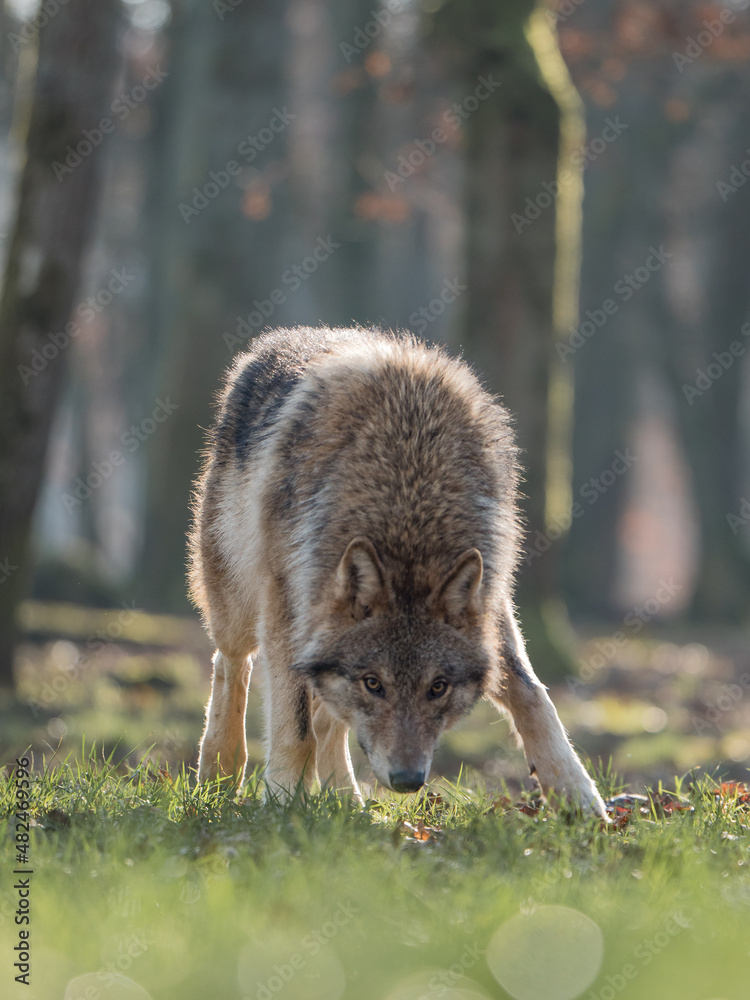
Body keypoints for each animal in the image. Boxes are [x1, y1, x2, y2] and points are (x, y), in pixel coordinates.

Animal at [189, 326, 606, 818]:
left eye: (438, 687)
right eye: (374, 684)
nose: (408, 781)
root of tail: (279, 340)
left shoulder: (491, 596)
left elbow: (532, 693)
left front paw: (578, 797)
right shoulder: (287, 605)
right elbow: (295, 725)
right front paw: (282, 801)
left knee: (328, 719)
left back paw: (345, 801)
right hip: (239, 602)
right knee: (231, 663)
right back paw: (220, 773)